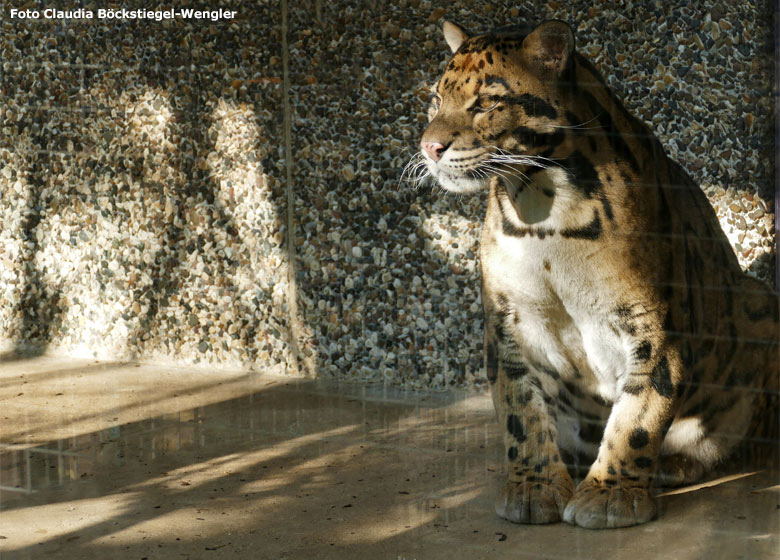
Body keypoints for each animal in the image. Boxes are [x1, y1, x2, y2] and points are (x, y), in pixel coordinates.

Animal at [412, 19, 776, 528]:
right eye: (436, 99)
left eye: (486, 102)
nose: (429, 147)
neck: (542, 212)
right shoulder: (507, 323)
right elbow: (520, 410)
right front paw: (534, 487)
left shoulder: (653, 328)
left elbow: (638, 417)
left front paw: (609, 495)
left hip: (761, 300)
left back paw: (675, 463)